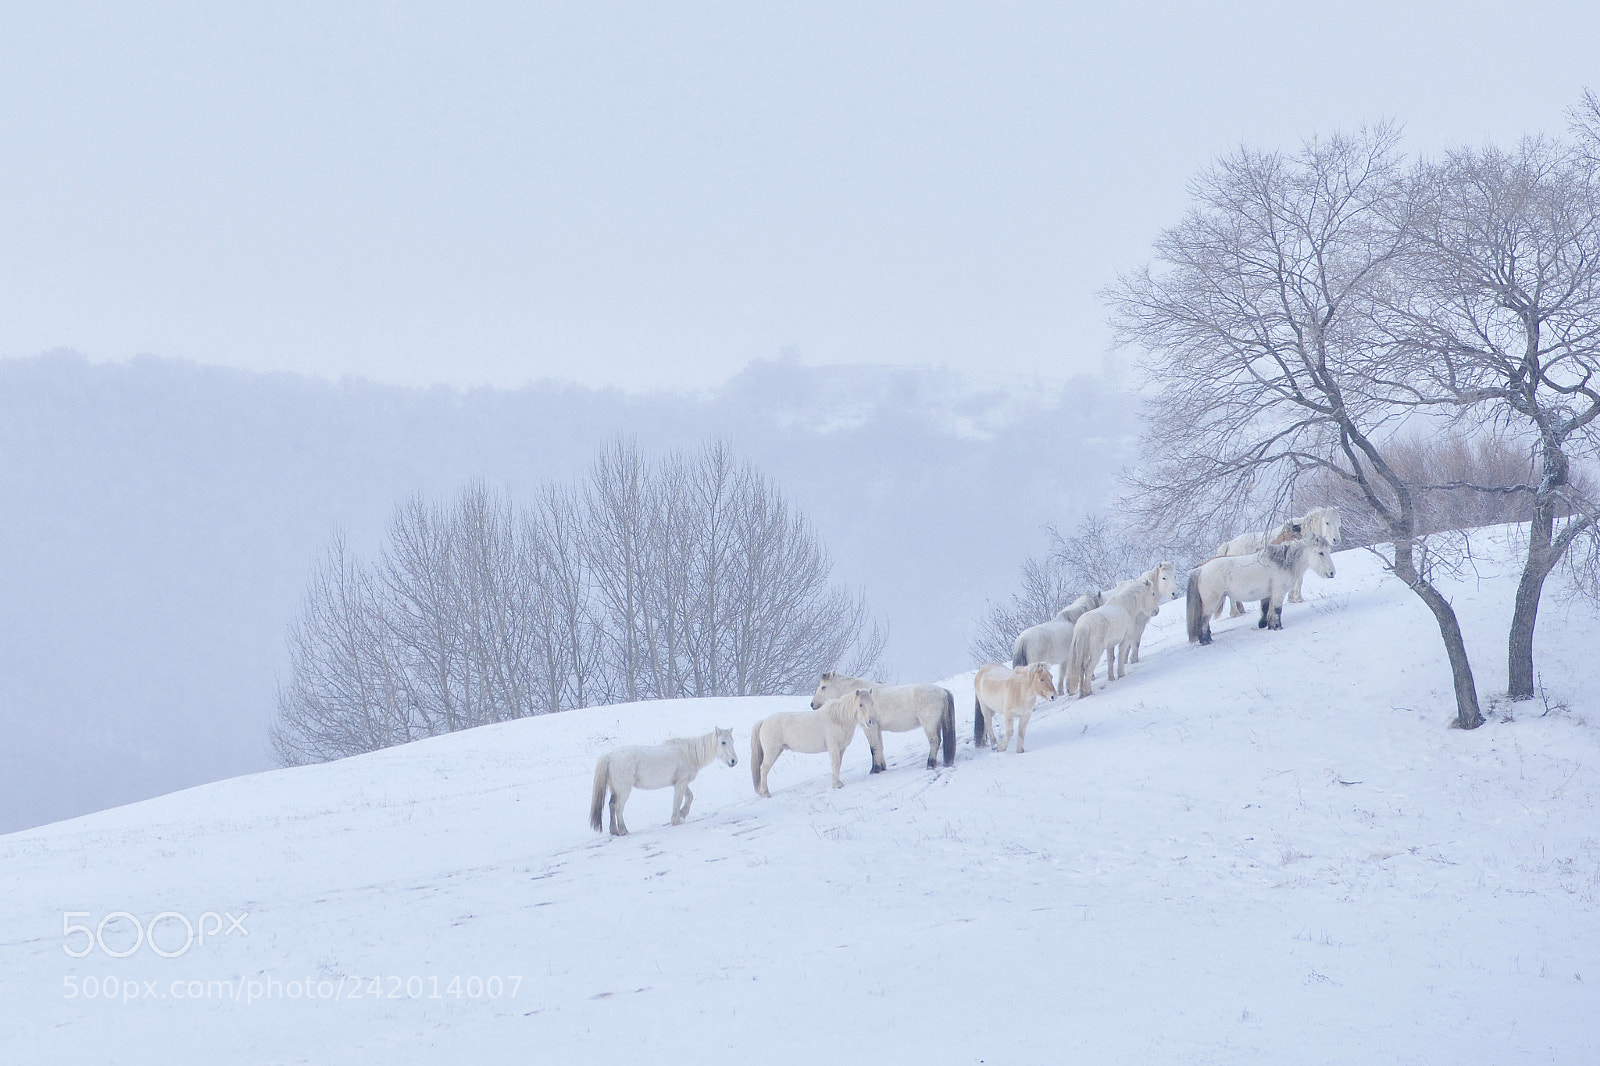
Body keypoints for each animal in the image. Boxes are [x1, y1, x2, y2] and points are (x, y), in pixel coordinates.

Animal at [589, 727, 738, 836]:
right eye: (723, 742)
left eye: (732, 741)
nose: (734, 761)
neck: (688, 754)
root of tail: (609, 756)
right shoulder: (681, 783)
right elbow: (678, 800)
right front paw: (677, 820)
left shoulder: (681, 783)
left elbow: (689, 796)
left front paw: (682, 813)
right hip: (624, 790)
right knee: (618, 807)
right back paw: (623, 830)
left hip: (615, 790)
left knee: (611, 805)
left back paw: (614, 831)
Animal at [751, 690, 879, 796]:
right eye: (860, 704)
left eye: (872, 703)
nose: (871, 721)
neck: (837, 719)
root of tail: (764, 721)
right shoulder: (833, 747)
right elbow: (835, 764)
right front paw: (836, 785)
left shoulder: (841, 748)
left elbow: (838, 765)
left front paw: (838, 783)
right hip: (771, 752)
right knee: (763, 769)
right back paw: (765, 793)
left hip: (777, 751)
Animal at [809, 672, 956, 770]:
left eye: (823, 687)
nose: (812, 704)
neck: (864, 699)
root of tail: (942, 691)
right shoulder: (877, 728)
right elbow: (879, 746)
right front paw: (882, 766)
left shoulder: (869, 728)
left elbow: (873, 747)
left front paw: (875, 769)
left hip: (929, 724)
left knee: (934, 741)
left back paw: (930, 763)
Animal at [1186, 535, 1336, 645]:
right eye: (1320, 553)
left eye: (1328, 551)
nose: (1332, 573)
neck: (1282, 562)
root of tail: (1200, 569)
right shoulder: (1278, 593)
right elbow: (1277, 610)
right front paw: (1278, 627)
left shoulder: (1271, 595)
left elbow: (1269, 611)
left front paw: (1270, 626)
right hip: (1211, 602)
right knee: (1203, 620)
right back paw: (1206, 641)